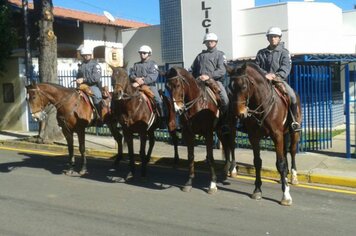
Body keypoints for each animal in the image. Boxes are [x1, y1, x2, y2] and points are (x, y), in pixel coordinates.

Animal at [165, 66, 235, 194]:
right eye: (167, 87)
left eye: (177, 85)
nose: (178, 110)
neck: (197, 105)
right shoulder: (189, 133)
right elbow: (191, 156)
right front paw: (189, 182)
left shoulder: (208, 133)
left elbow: (210, 158)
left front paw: (212, 184)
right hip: (219, 130)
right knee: (226, 146)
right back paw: (225, 169)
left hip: (231, 129)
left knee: (232, 146)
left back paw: (233, 170)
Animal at [227, 61, 302, 206]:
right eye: (230, 87)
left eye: (244, 86)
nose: (239, 113)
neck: (262, 105)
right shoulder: (254, 137)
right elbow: (257, 162)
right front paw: (257, 190)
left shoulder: (277, 135)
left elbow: (280, 164)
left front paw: (286, 195)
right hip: (284, 134)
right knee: (285, 153)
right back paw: (284, 178)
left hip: (293, 133)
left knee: (292, 151)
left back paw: (293, 177)